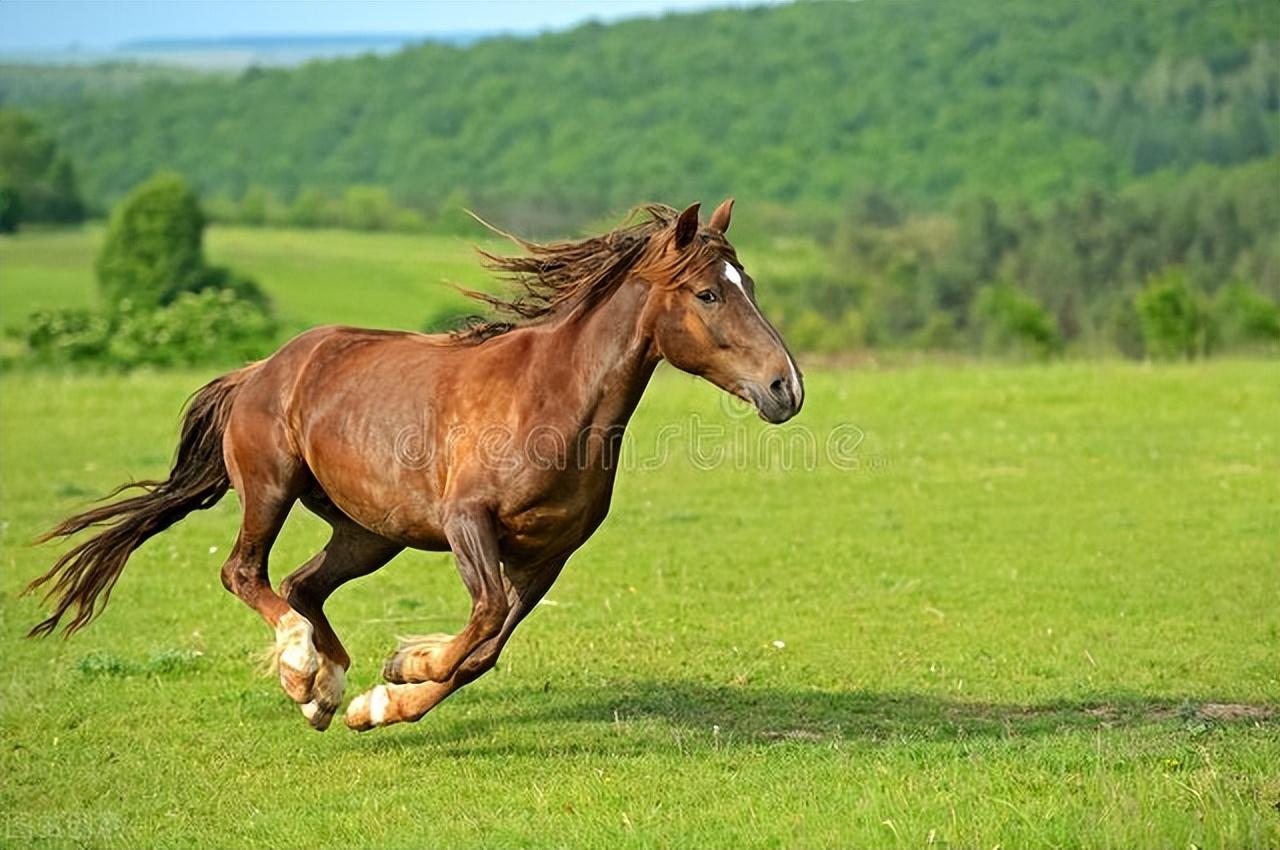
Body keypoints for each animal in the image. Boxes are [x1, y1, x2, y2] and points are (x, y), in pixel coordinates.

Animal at [24, 199, 803, 732]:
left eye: (748, 282)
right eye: (708, 292)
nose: (786, 388)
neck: (552, 397)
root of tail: (259, 369)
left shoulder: (548, 553)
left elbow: (486, 648)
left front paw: (380, 698)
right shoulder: (468, 523)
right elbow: (482, 620)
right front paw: (403, 669)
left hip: (370, 532)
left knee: (304, 585)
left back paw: (325, 692)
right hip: (272, 489)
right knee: (245, 573)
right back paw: (302, 669)